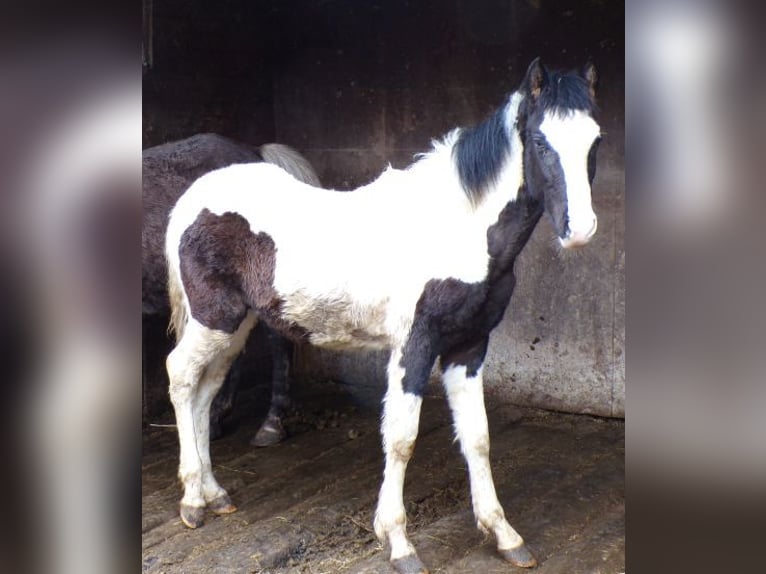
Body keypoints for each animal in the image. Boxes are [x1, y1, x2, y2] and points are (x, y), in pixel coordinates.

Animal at [164, 58, 600, 573]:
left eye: (596, 141)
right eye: (539, 141)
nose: (579, 231)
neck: (455, 227)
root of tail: (192, 198)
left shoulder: (468, 347)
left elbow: (478, 437)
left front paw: (504, 534)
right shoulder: (414, 346)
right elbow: (401, 439)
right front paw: (398, 542)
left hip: (237, 323)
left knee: (206, 390)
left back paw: (214, 493)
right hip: (213, 317)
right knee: (181, 376)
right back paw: (192, 501)